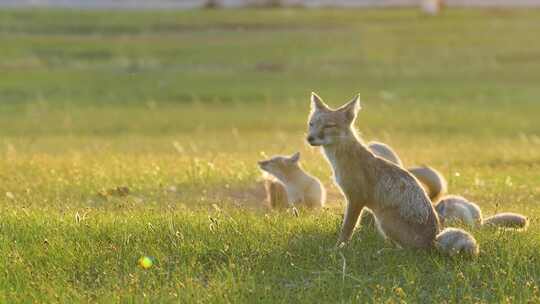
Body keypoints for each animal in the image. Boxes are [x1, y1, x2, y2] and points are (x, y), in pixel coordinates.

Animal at [308, 93, 476, 256]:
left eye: (329, 126)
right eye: (311, 124)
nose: (309, 138)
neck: (343, 158)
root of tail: (433, 241)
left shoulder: (356, 199)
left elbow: (347, 229)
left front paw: (338, 248)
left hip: (383, 220)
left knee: (408, 252)